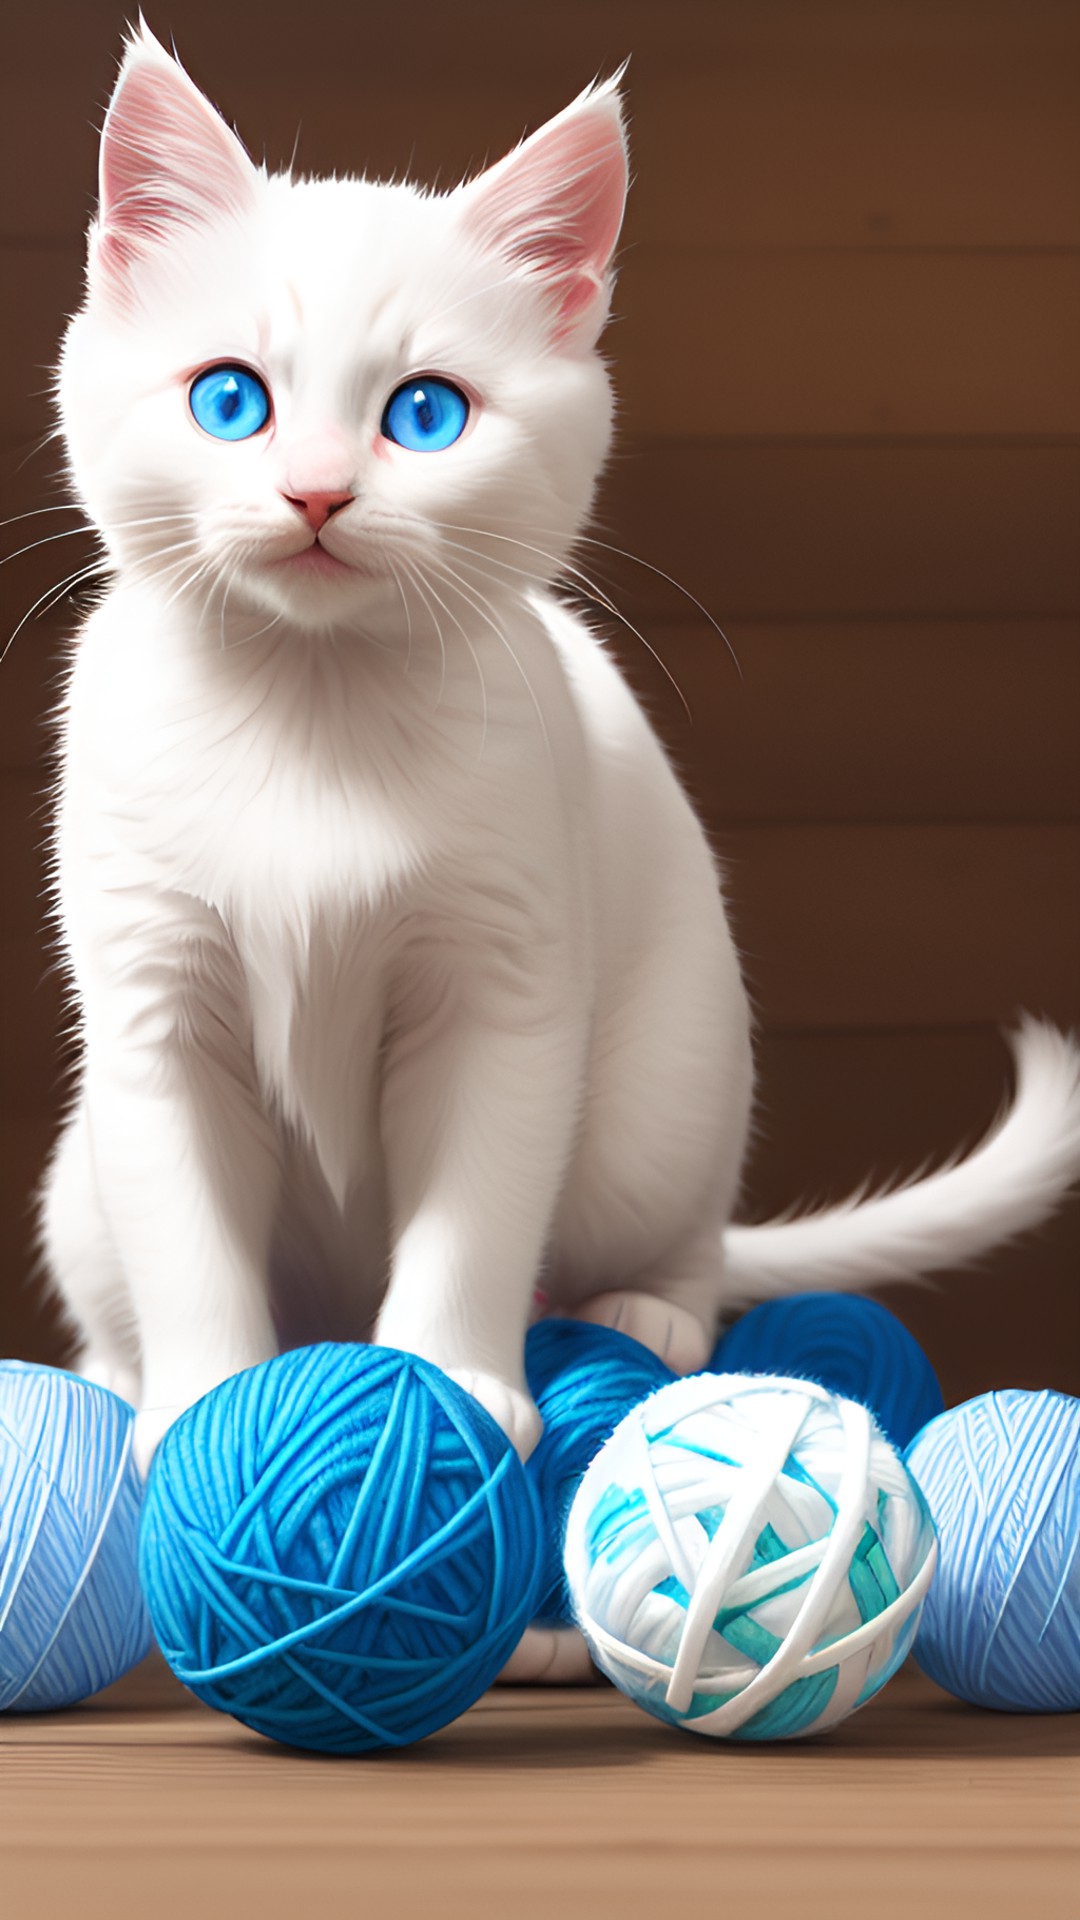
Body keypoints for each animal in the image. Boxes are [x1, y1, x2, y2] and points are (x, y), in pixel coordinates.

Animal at [33, 22, 1076, 1474]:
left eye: (425, 415)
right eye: (230, 401)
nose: (315, 493)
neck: (315, 712)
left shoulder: (507, 988)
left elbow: (476, 1207)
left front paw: (449, 1384)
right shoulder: (152, 1008)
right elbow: (188, 1238)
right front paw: (204, 1411)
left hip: (664, 1100)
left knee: (681, 1236)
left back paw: (647, 1315)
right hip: (76, 1186)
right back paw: (121, 1381)